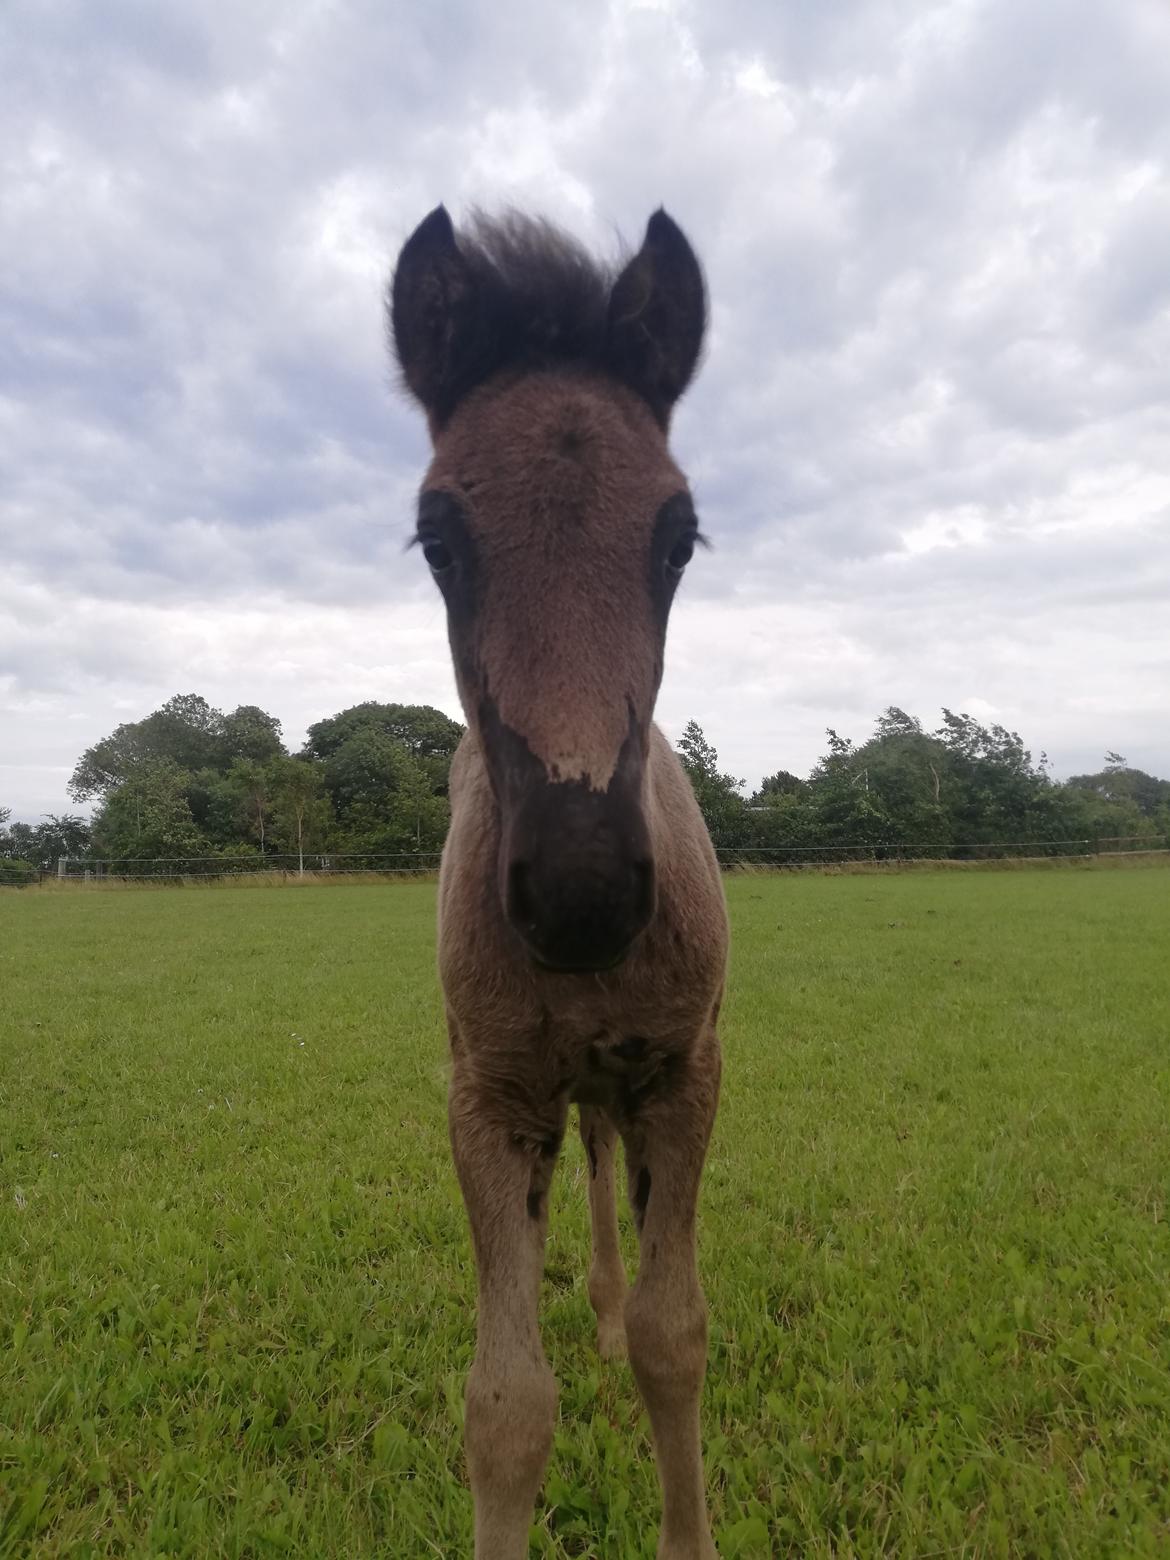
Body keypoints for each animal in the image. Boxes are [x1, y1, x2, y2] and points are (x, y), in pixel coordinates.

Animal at [390, 207, 730, 1560]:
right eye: (440, 539)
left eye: (677, 537)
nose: (583, 889)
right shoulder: (487, 1102)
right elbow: (505, 1406)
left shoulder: (686, 1076)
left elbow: (673, 1340)